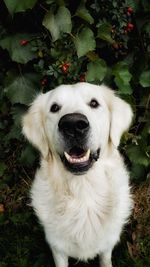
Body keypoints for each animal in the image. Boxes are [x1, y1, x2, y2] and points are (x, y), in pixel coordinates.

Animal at [22, 84, 132, 267]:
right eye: (54, 108)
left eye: (94, 103)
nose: (73, 124)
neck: (83, 191)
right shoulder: (57, 247)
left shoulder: (107, 243)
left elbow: (105, 259)